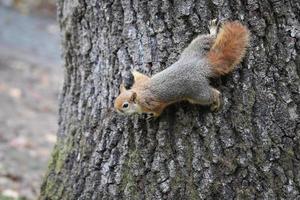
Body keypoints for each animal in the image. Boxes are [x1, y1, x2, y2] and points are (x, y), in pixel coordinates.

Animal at [113, 19, 250, 117]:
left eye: (125, 105)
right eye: (116, 99)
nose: (117, 110)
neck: (139, 93)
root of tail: (202, 65)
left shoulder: (153, 103)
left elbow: (158, 110)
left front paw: (153, 116)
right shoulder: (142, 81)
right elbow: (141, 76)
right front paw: (131, 71)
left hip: (197, 92)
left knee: (213, 94)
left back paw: (216, 102)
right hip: (195, 47)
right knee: (208, 38)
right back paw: (212, 30)